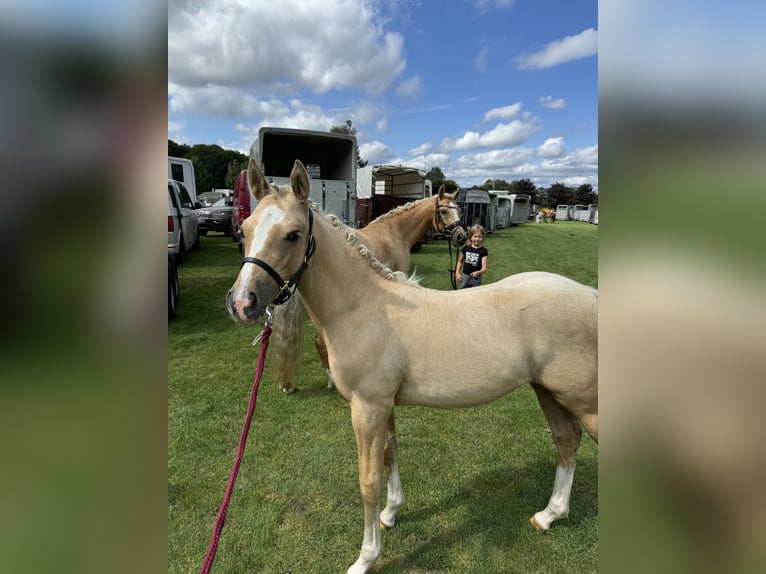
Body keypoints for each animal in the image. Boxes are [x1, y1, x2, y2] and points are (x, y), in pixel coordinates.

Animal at [226, 161, 600, 574]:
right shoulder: (383, 407)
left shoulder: (368, 409)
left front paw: (366, 557)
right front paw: (391, 514)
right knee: (567, 440)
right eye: (245, 230)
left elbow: (368, 480)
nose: (242, 303)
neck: (365, 307)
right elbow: (391, 456)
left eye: (293, 235)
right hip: (548, 391)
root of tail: (593, 295)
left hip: (586, 402)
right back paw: (549, 515)